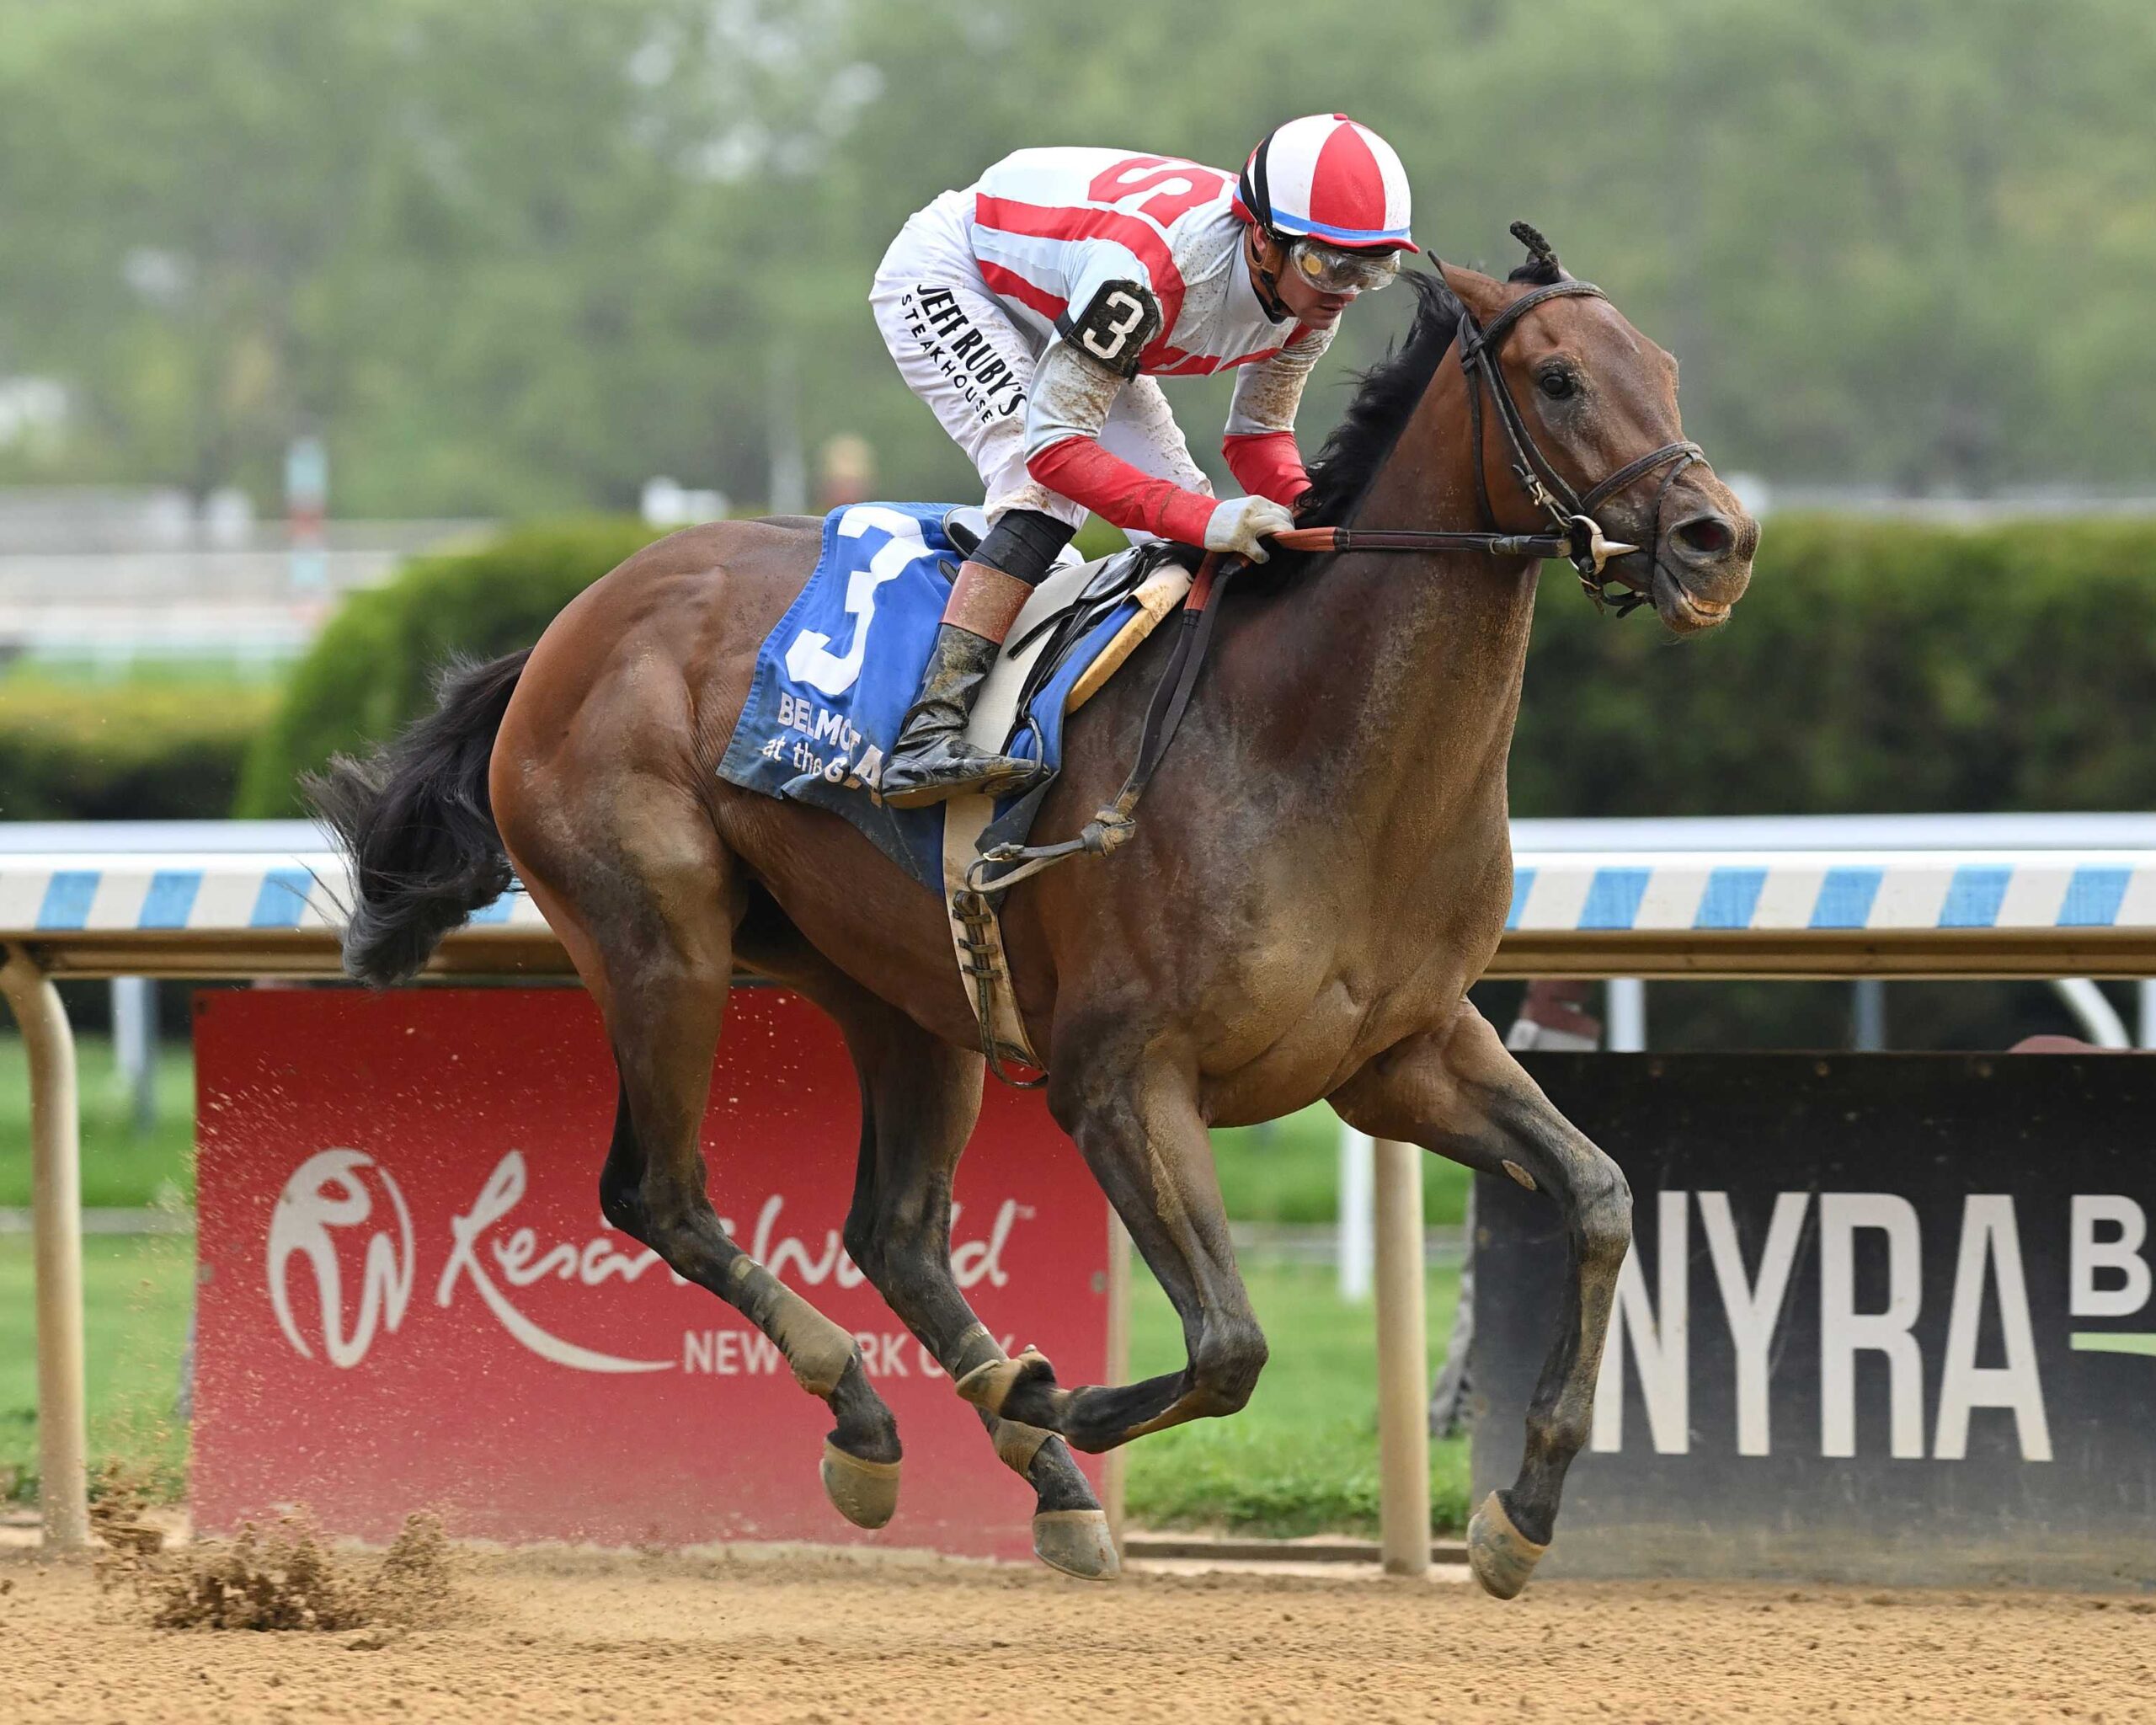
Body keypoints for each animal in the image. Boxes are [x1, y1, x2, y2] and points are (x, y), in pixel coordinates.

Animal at [311, 231, 1759, 1596]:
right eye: (1560, 379)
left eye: (1667, 367)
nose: (1719, 541)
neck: (1309, 747)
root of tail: (569, 623)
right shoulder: (1119, 1079)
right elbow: (1230, 1346)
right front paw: (1048, 1388)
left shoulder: (1400, 1054)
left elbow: (1601, 1197)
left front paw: (1522, 1512)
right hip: (662, 946)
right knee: (659, 1193)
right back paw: (886, 1416)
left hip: (901, 990)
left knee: (894, 1234)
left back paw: (1033, 1478)